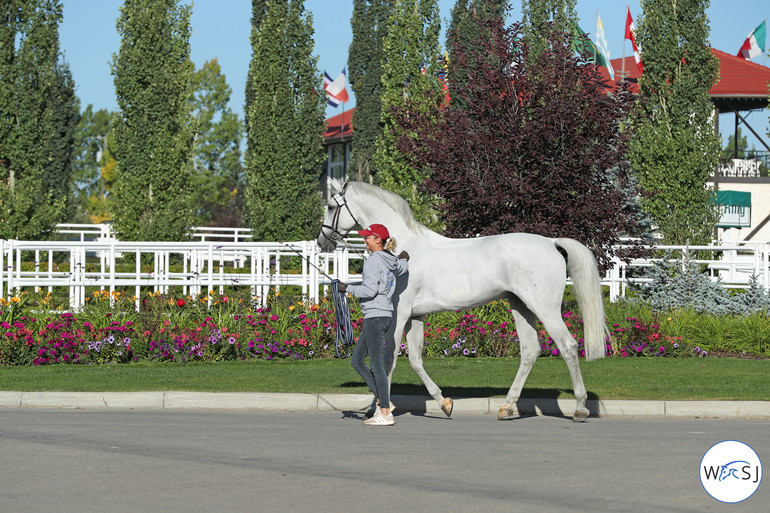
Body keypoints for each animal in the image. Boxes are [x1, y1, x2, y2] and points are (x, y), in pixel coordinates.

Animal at [316, 180, 608, 420]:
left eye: (330, 206)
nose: (322, 242)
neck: (400, 250)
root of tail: (551, 242)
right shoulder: (415, 317)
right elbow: (416, 360)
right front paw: (444, 403)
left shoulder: (399, 314)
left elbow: (388, 360)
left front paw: (381, 409)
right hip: (521, 307)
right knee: (530, 351)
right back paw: (506, 407)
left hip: (545, 308)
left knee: (567, 345)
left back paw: (580, 408)